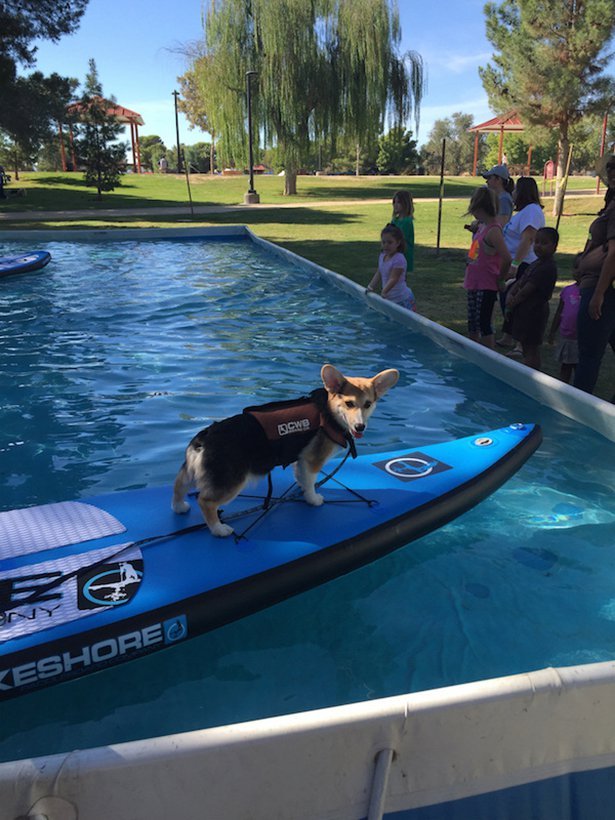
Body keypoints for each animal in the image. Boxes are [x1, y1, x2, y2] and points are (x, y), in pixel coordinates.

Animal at [172, 366, 400, 540]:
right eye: (349, 403)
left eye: (368, 404)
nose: (360, 427)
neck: (328, 413)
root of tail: (203, 438)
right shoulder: (313, 459)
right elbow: (310, 482)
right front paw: (313, 499)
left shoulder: (301, 459)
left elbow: (302, 478)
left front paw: (303, 490)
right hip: (231, 482)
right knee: (206, 502)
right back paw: (219, 529)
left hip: (192, 473)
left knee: (178, 486)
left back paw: (180, 507)